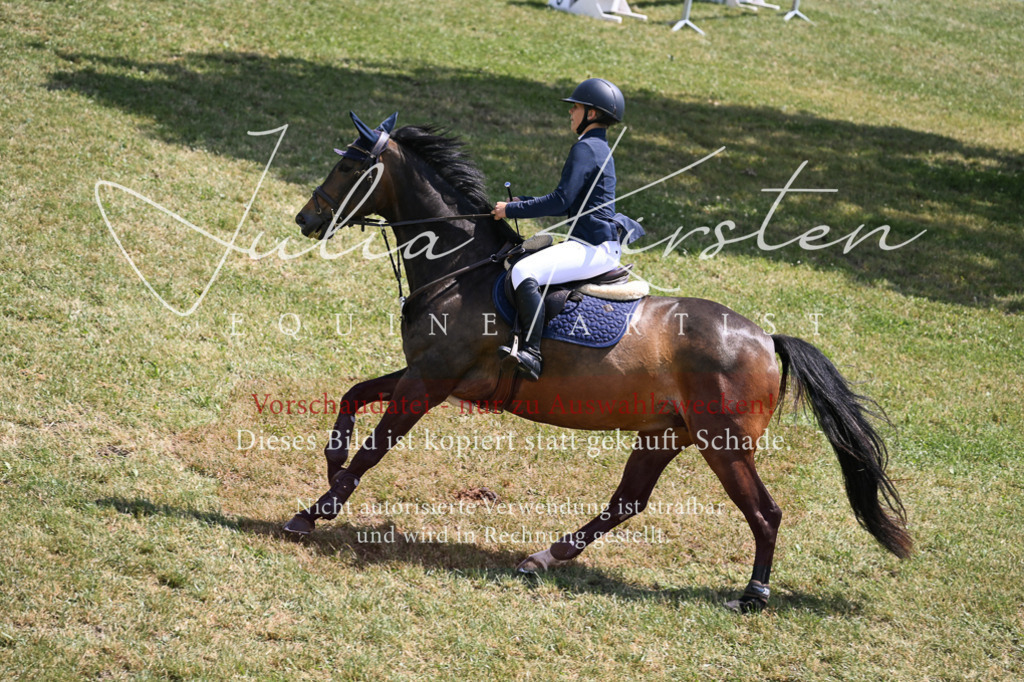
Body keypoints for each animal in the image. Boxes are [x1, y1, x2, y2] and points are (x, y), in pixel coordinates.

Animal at [286, 112, 911, 612]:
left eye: (348, 166)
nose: (305, 219)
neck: (462, 269)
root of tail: (764, 339)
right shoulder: (425, 374)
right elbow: (352, 397)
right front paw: (329, 470)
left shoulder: (430, 381)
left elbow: (374, 449)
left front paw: (317, 510)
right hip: (665, 432)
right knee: (627, 502)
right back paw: (543, 556)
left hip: (724, 444)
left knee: (765, 512)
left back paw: (753, 595)